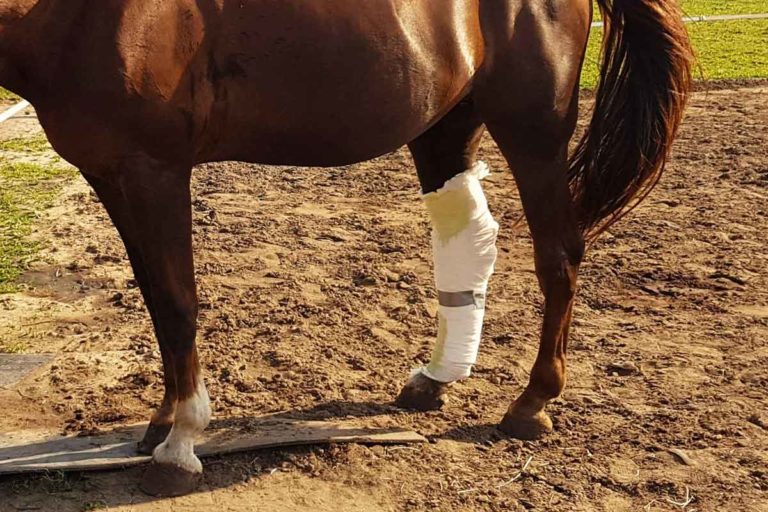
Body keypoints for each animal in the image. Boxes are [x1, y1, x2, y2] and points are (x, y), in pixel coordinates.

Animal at [0, 0, 693, 497]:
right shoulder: (112, 173)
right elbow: (156, 298)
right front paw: (163, 424)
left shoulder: (154, 170)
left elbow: (177, 303)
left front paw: (181, 445)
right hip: (446, 128)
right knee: (469, 240)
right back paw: (435, 379)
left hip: (533, 130)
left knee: (559, 255)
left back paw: (531, 405)